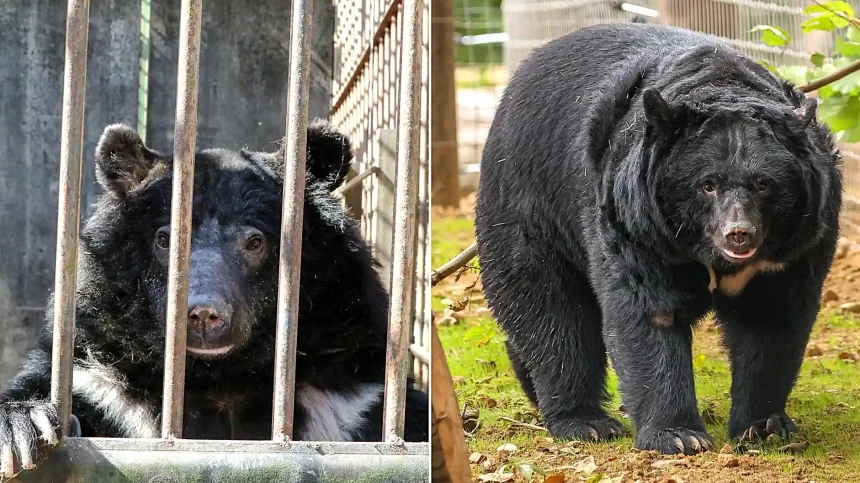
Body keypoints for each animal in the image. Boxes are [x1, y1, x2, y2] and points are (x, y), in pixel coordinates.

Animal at [0, 120, 429, 477]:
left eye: (254, 242)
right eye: (164, 239)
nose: (203, 314)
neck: (221, 377)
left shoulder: (350, 394)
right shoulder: (101, 381)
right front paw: (24, 431)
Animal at [474, 23, 841, 455]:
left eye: (764, 184)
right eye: (708, 185)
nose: (738, 234)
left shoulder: (797, 244)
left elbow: (771, 319)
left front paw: (763, 426)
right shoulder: (635, 222)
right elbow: (648, 312)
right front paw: (679, 436)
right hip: (528, 206)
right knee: (551, 312)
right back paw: (586, 421)